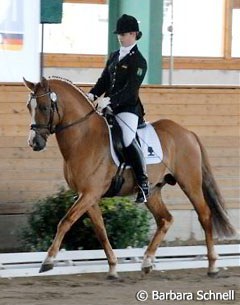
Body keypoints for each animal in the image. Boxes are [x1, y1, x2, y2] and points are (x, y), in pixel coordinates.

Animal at [23, 77, 234, 276]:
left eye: (44, 107)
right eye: (28, 107)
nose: (34, 143)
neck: (84, 138)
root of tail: (188, 132)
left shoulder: (90, 193)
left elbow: (65, 221)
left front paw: (48, 261)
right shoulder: (88, 196)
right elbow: (100, 230)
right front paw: (113, 268)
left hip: (189, 183)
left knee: (204, 215)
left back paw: (212, 266)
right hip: (153, 191)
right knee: (165, 219)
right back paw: (147, 261)